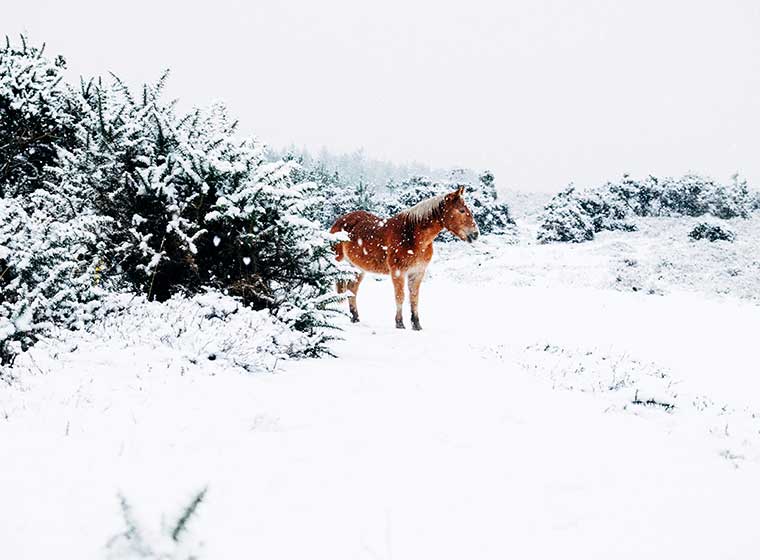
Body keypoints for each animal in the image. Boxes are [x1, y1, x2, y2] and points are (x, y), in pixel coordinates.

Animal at [330, 186, 478, 330]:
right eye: (462, 210)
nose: (476, 234)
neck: (412, 236)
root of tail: (339, 222)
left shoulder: (417, 272)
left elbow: (414, 298)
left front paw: (416, 324)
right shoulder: (398, 272)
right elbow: (400, 296)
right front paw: (399, 323)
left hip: (358, 268)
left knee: (352, 289)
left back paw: (355, 318)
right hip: (337, 263)